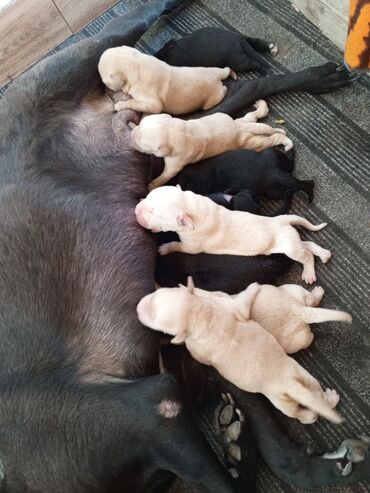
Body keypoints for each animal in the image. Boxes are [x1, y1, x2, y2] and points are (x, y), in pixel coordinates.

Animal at [97, 45, 233, 115]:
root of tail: (218, 77)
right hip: (213, 69)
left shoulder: (152, 104)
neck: (135, 63)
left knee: (222, 91)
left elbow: (133, 102)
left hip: (211, 100)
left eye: (106, 82)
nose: (105, 88)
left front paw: (119, 105)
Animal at [130, 100, 292, 190]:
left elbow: (164, 176)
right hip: (246, 120)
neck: (176, 131)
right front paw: (132, 124)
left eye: (141, 142)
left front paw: (151, 185)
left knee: (273, 138)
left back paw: (286, 143)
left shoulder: (175, 165)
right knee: (257, 115)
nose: (131, 136)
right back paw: (260, 105)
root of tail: (242, 128)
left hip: (252, 143)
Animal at [134, 185, 330, 284]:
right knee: (306, 245)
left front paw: (164, 248)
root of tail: (283, 220)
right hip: (287, 242)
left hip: (288, 247)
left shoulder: (191, 246)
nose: (136, 209)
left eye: (153, 212)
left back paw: (309, 273)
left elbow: (177, 245)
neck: (195, 208)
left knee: (305, 255)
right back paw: (324, 254)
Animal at [192, 280, 352, 354]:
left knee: (308, 338)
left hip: (294, 342)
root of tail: (300, 311)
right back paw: (318, 292)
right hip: (294, 290)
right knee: (311, 300)